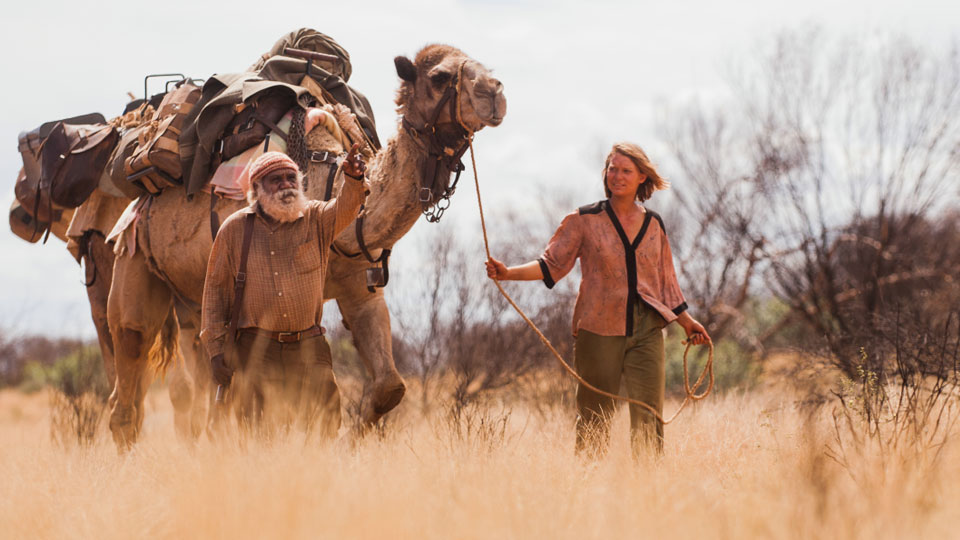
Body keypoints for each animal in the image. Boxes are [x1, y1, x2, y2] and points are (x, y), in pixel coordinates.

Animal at [108, 44, 506, 448]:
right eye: (440, 77)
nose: (495, 93)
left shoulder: (360, 288)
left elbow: (389, 386)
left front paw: (349, 442)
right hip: (134, 255)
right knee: (131, 361)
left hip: (191, 300)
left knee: (197, 375)